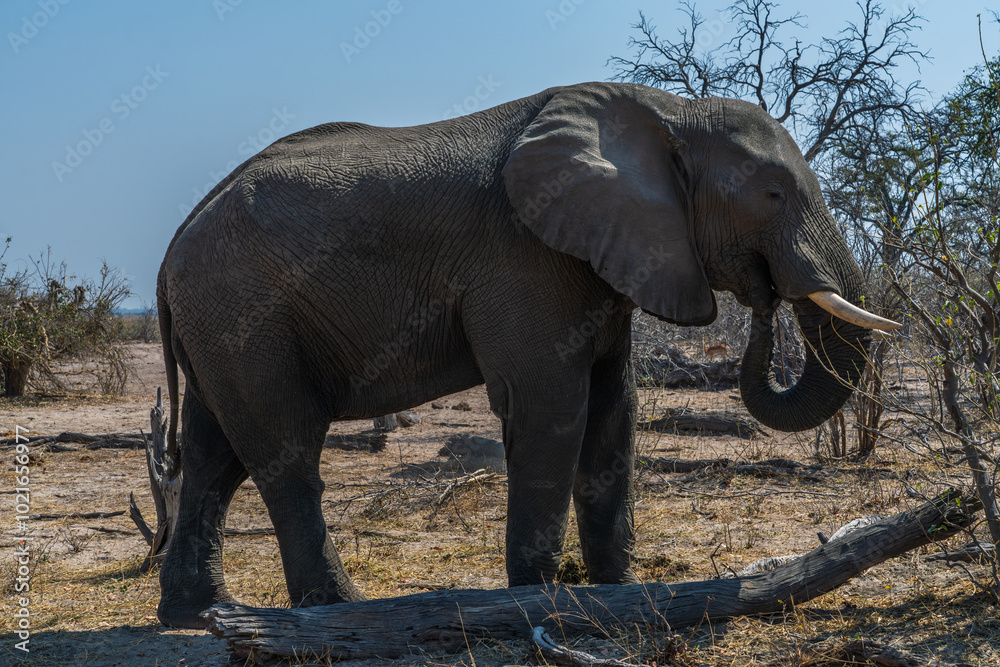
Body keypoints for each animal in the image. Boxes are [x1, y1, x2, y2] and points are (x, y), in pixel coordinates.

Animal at [155, 81, 899, 628]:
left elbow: (615, 410)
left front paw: (619, 593)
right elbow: (551, 406)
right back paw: (341, 610)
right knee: (286, 453)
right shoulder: (524, 258)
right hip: (246, 315)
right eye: (773, 193)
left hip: (222, 327)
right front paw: (538, 603)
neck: (669, 113)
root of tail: (172, 245)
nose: (765, 297)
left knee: (213, 455)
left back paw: (194, 615)